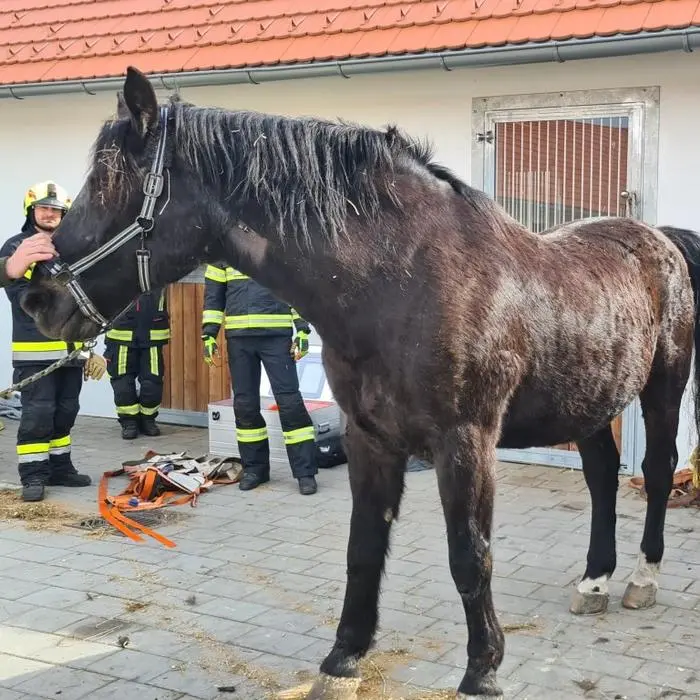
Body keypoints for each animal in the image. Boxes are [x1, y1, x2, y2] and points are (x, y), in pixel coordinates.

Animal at [21, 66, 700, 700]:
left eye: (109, 181)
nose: (38, 297)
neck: (401, 282)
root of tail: (659, 239)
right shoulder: (370, 438)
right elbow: (363, 549)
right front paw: (343, 659)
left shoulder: (466, 442)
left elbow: (470, 553)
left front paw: (482, 670)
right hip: (589, 402)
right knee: (602, 479)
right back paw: (594, 580)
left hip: (662, 389)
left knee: (657, 470)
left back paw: (640, 579)